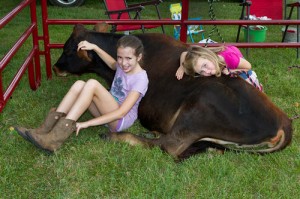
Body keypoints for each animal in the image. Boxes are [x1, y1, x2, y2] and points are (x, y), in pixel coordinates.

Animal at [52, 24, 292, 159]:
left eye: (67, 50)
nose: (54, 68)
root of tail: (285, 122)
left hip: (198, 108)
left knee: (168, 146)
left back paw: (114, 136)